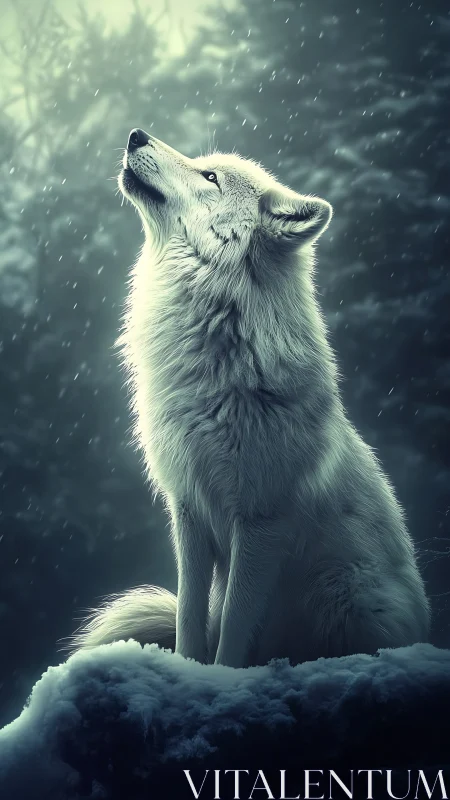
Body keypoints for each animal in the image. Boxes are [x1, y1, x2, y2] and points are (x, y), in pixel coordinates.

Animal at [72, 128, 430, 667]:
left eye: (210, 177)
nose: (136, 134)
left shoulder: (261, 523)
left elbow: (235, 630)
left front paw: (220, 677)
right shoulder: (188, 510)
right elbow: (189, 620)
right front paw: (188, 671)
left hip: (348, 596)